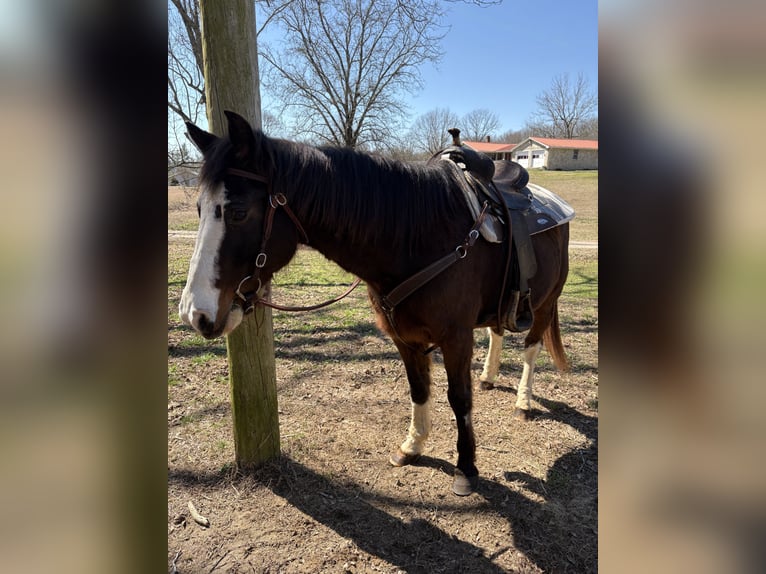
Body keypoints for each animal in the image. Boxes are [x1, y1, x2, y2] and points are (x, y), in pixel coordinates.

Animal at [177, 111, 568, 496]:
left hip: (545, 302)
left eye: (238, 212)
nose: (194, 313)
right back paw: (488, 377)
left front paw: (466, 468)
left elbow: (459, 398)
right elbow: (419, 388)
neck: (420, 238)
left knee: (532, 346)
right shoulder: (403, 337)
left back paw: (523, 401)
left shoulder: (456, 338)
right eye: (198, 208)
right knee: (496, 332)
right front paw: (412, 446)